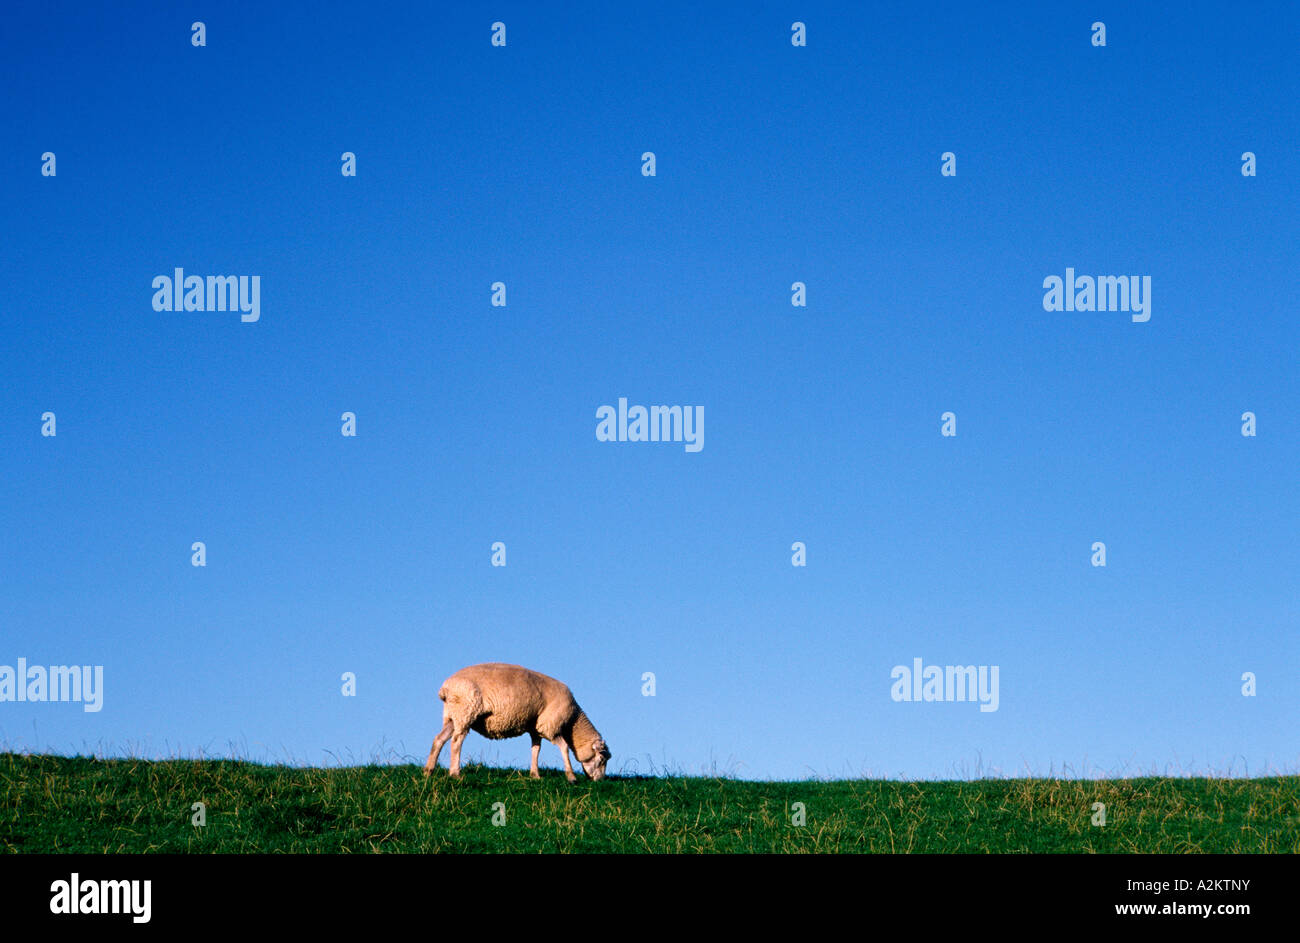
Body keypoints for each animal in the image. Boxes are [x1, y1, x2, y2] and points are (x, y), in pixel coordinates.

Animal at [423, 658, 611, 785]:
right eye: (602, 759)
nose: (600, 780)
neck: (572, 721)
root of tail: (445, 688)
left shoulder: (536, 728)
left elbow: (536, 749)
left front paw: (535, 774)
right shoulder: (549, 725)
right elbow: (564, 747)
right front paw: (571, 776)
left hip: (452, 716)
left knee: (439, 739)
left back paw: (428, 771)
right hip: (466, 712)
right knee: (456, 742)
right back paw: (455, 773)